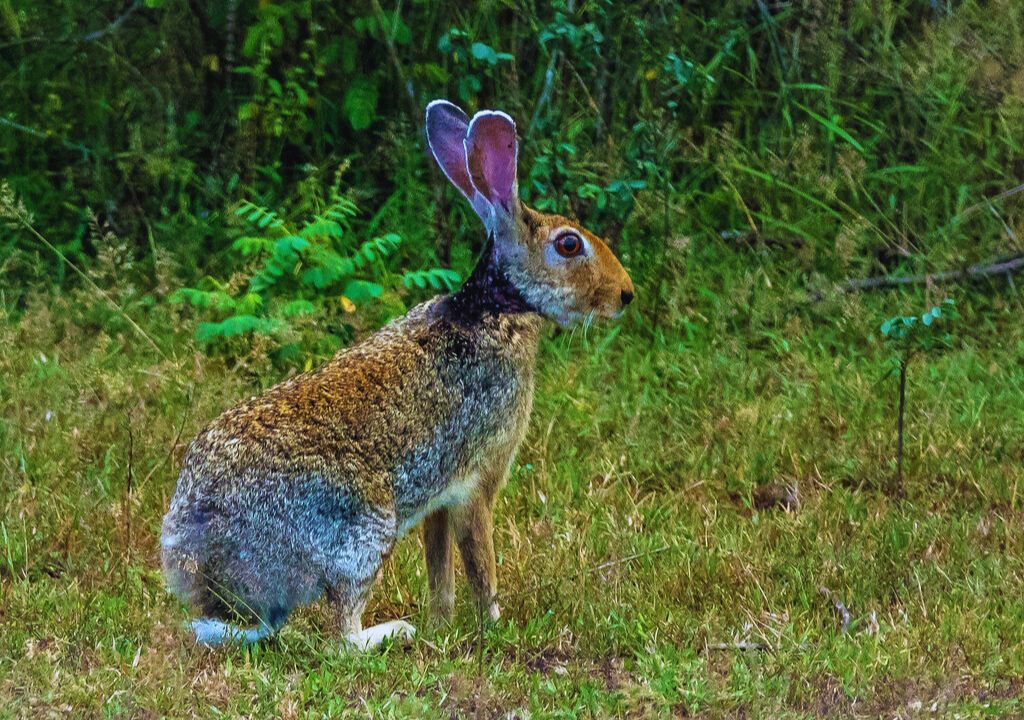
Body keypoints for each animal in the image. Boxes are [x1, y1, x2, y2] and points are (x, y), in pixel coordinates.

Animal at [160, 99, 634, 650]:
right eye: (569, 245)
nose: (625, 294)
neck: (497, 306)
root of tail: (202, 557)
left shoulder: (439, 502)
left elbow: (440, 567)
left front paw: (442, 622)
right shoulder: (477, 481)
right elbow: (480, 563)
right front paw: (493, 623)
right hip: (363, 530)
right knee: (342, 635)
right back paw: (391, 632)